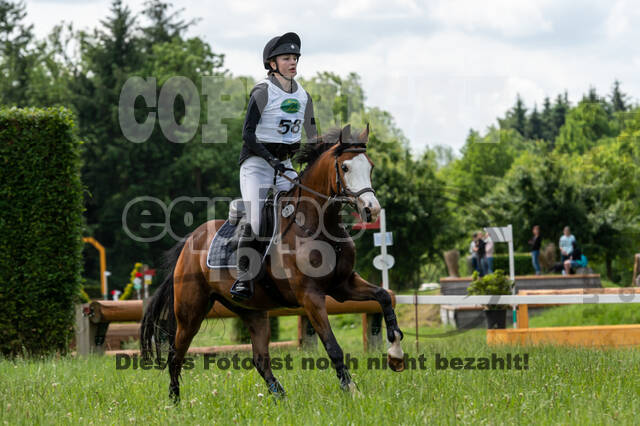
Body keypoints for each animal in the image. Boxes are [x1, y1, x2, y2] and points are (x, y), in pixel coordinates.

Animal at [141, 124, 405, 402]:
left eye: (370, 166)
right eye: (344, 167)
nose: (371, 210)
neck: (317, 224)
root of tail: (189, 242)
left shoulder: (343, 285)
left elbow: (383, 296)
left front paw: (396, 355)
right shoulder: (310, 296)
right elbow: (332, 345)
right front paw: (352, 390)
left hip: (253, 311)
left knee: (260, 359)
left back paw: (281, 398)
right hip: (190, 312)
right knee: (176, 354)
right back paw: (175, 401)